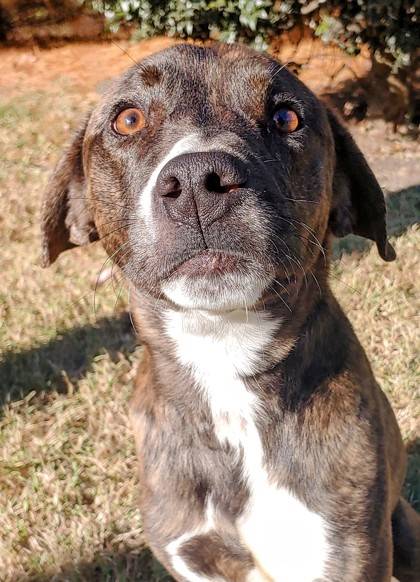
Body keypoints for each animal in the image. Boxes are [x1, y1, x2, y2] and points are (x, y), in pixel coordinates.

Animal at [40, 43, 420, 580]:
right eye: (128, 119)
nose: (199, 181)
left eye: (286, 117)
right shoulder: (191, 556)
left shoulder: (345, 552)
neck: (224, 358)